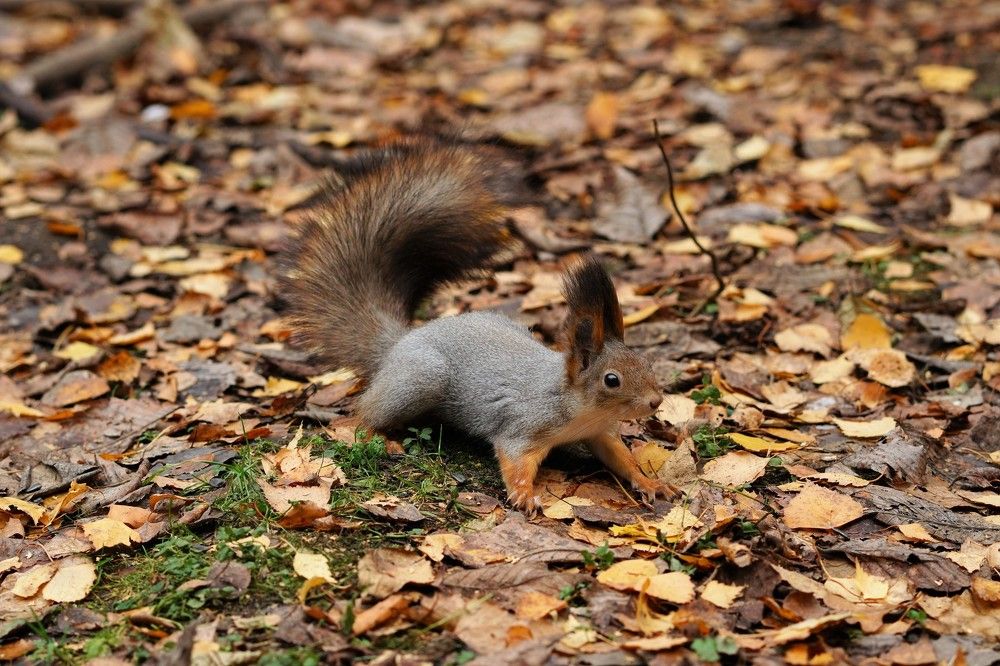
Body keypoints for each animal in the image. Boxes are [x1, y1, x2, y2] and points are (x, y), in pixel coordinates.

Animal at [281, 138, 678, 512]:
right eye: (612, 380)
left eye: (646, 362)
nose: (656, 401)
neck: (578, 405)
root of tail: (401, 341)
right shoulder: (524, 425)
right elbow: (514, 459)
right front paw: (524, 495)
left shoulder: (600, 433)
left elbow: (622, 459)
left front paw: (651, 482)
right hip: (420, 377)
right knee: (363, 413)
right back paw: (381, 437)